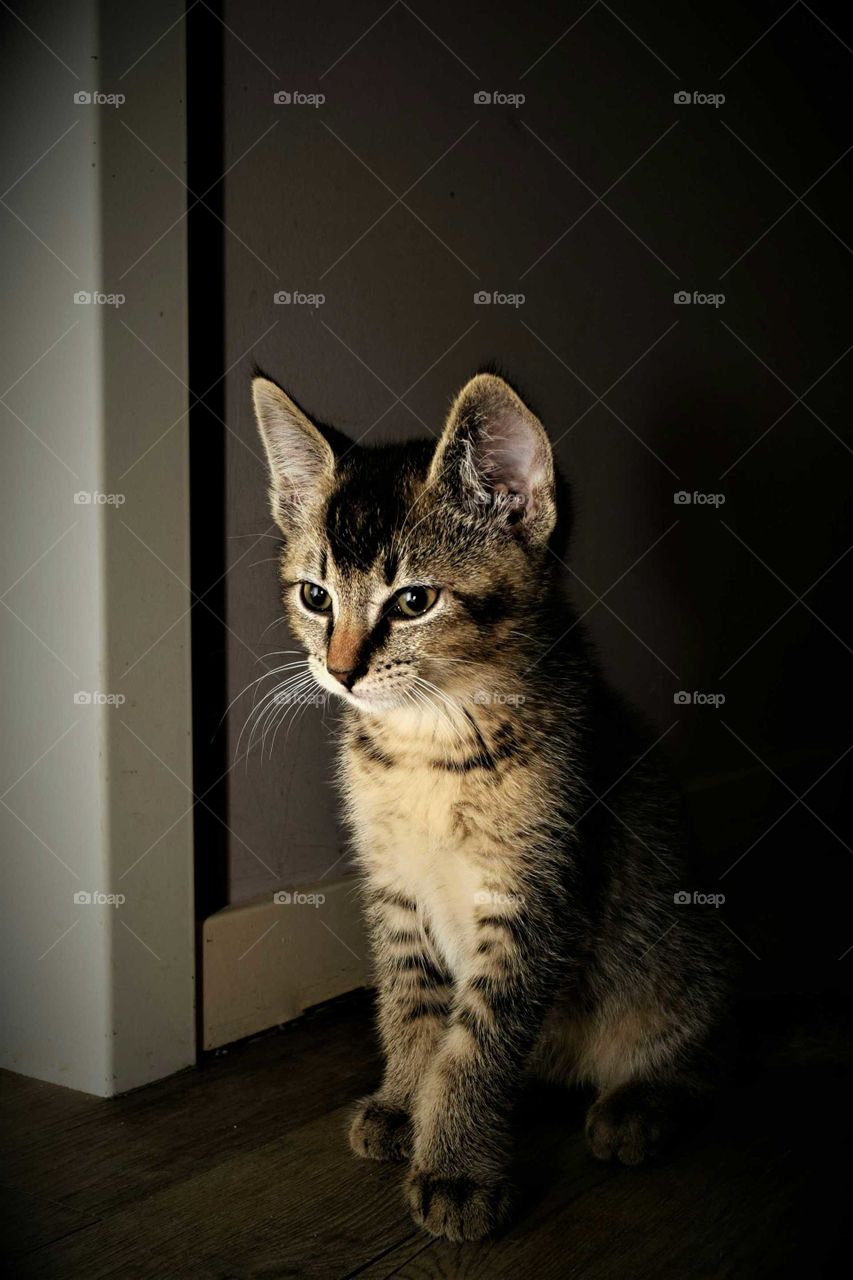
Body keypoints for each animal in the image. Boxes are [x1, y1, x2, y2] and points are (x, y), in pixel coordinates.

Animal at [251, 371, 722, 1239]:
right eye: (314, 595)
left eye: (413, 601)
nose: (340, 670)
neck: (426, 745)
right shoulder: (395, 889)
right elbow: (411, 1008)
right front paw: (405, 1104)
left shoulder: (534, 898)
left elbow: (480, 1042)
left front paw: (457, 1170)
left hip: (676, 947)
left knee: (699, 1039)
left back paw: (639, 1106)